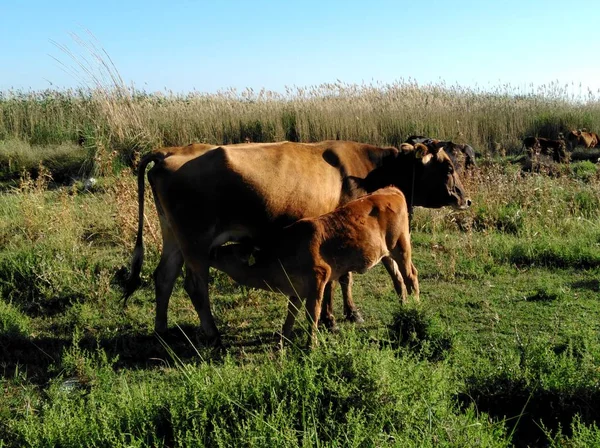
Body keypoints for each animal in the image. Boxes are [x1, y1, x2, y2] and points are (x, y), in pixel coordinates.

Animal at [211, 187, 418, 348]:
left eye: (228, 252)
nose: (212, 250)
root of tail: (390, 189)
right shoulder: (295, 289)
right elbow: (291, 314)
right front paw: (283, 339)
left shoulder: (319, 278)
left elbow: (313, 313)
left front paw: (311, 344)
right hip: (386, 255)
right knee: (398, 280)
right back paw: (403, 308)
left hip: (401, 248)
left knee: (411, 276)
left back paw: (415, 308)